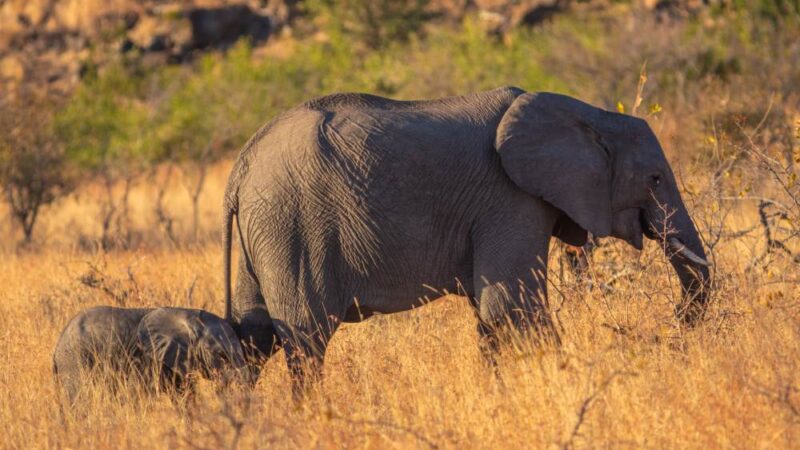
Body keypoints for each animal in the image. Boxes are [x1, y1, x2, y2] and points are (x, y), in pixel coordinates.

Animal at [53, 306, 250, 404]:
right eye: (221, 355)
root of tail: (56, 350)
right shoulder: (147, 358)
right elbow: (137, 393)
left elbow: (185, 395)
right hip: (75, 361)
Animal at [220, 87, 712, 390]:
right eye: (654, 179)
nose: (670, 328)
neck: (588, 115)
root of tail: (241, 167)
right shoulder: (509, 198)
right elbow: (511, 308)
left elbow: (491, 314)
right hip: (292, 226)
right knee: (305, 339)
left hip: (266, 231)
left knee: (253, 335)